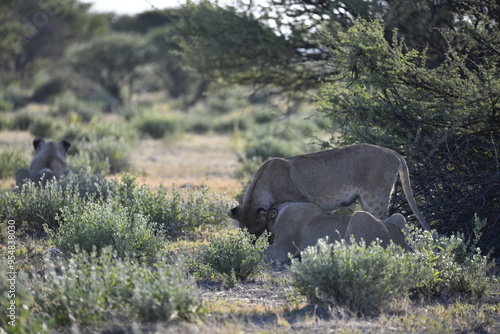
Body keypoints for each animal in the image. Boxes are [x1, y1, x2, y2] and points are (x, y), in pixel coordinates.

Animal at [230, 143, 430, 235]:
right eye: (245, 233)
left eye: (257, 231)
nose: (253, 245)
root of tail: (394, 153)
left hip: (375, 198)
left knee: (384, 222)